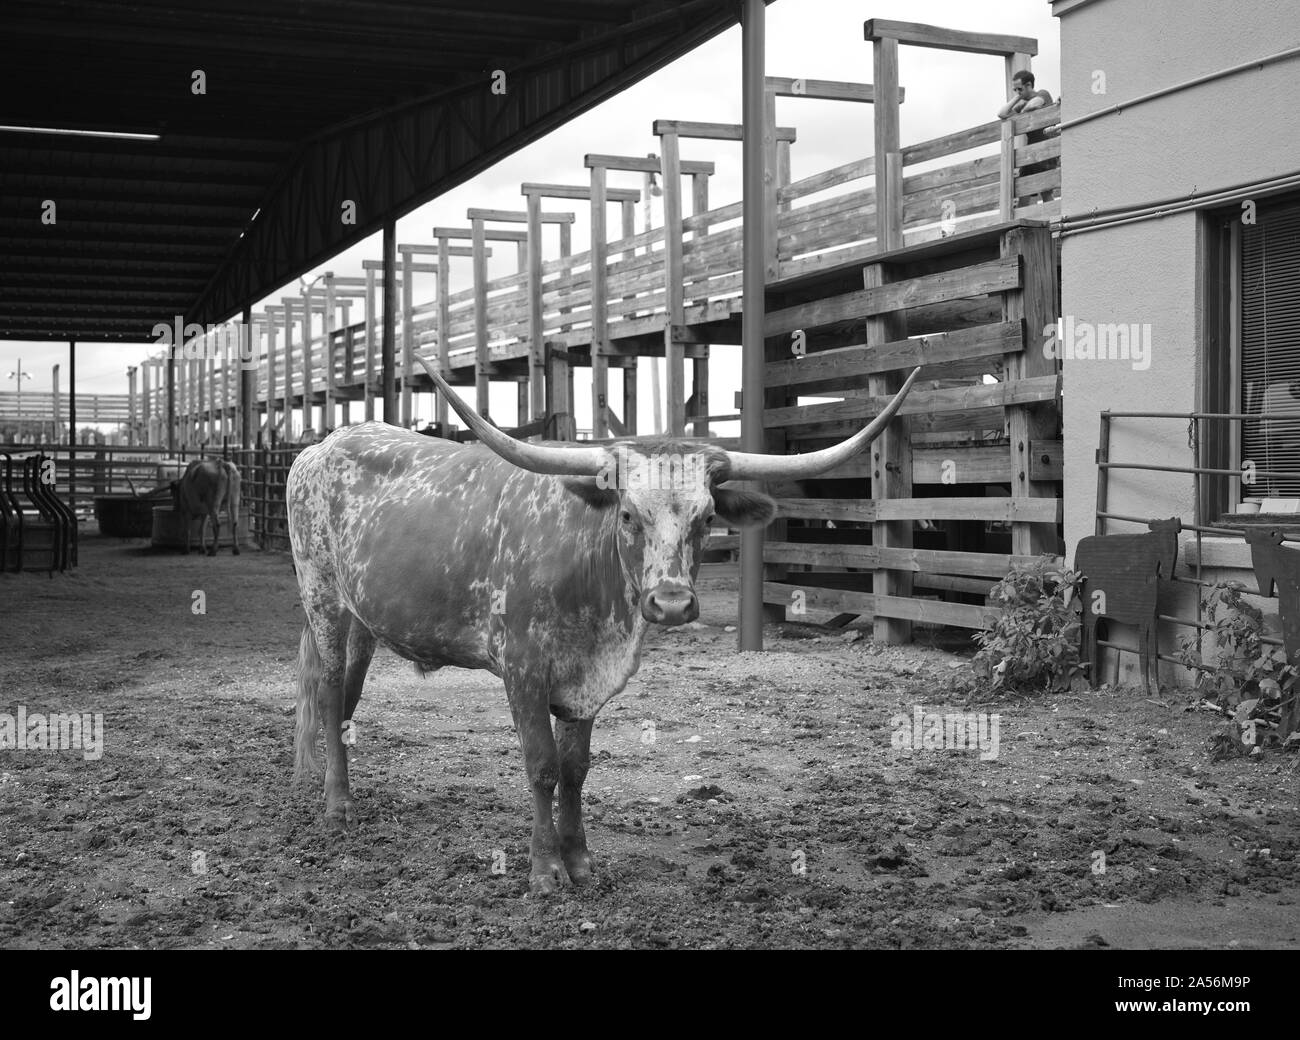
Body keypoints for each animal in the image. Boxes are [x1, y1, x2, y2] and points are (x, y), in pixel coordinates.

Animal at [288, 357, 920, 896]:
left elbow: (575, 770)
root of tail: (323, 445)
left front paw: (581, 861)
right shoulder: (522, 669)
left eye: (707, 518)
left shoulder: (587, 680)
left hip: (364, 617)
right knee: (328, 687)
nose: (671, 603)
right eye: (628, 514)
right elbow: (542, 766)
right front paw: (545, 870)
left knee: (346, 698)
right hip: (322, 598)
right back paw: (337, 805)